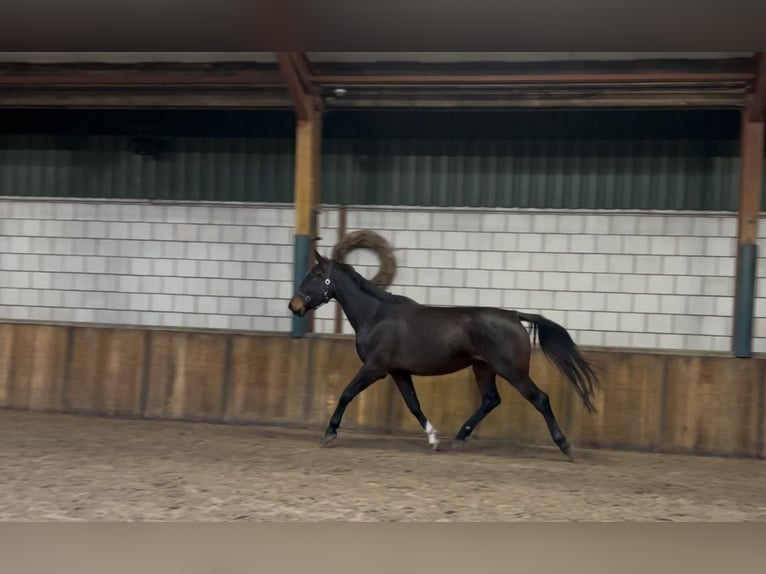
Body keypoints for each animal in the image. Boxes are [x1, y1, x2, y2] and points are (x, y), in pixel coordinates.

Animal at [288, 252, 600, 464]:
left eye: (315, 276)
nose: (294, 306)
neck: (376, 315)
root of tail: (514, 316)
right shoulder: (399, 371)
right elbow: (414, 405)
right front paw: (433, 438)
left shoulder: (375, 368)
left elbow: (345, 393)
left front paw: (330, 432)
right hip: (483, 368)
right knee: (491, 400)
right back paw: (460, 438)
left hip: (513, 372)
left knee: (540, 399)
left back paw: (565, 446)